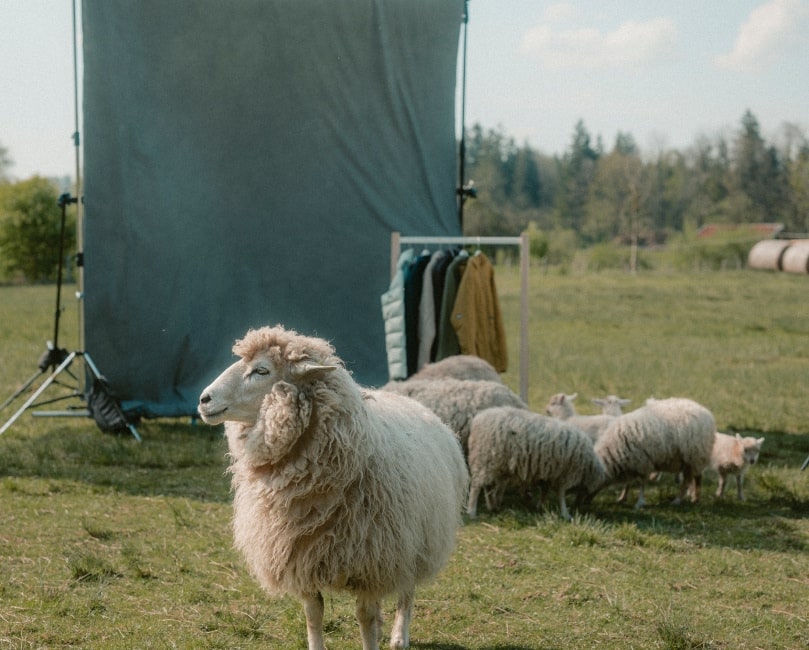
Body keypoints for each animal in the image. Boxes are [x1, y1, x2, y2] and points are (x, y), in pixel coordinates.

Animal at [197, 325, 469, 650]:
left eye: (261, 370)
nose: (203, 399)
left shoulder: (371, 561)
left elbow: (365, 617)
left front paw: (372, 642)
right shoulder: (301, 557)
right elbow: (313, 613)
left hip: (415, 542)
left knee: (407, 591)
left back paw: (399, 636)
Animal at [466, 406, 606, 520]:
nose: (581, 504)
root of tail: (478, 419)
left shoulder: (549, 474)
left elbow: (545, 490)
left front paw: (541, 506)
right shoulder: (562, 475)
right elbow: (560, 495)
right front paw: (565, 514)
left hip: (495, 463)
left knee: (488, 486)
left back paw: (492, 506)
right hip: (484, 459)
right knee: (476, 486)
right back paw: (472, 511)